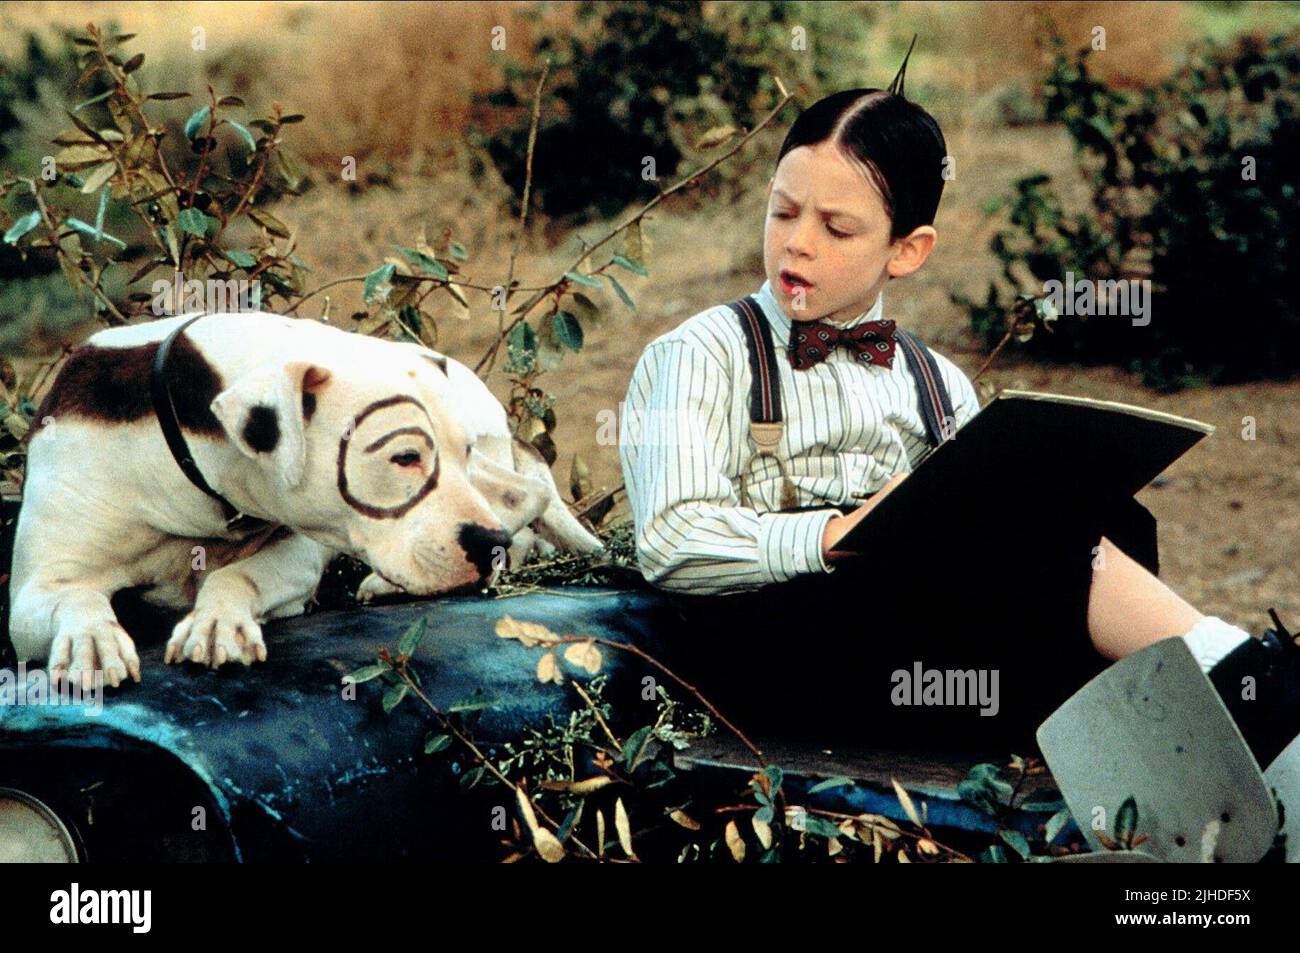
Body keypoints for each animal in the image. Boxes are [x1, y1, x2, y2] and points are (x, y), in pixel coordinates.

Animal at [7, 308, 603, 686]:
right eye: (404, 457)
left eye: (458, 449)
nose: (487, 544)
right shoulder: (32, 592)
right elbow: (73, 597)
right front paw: (89, 636)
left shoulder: (297, 555)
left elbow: (235, 576)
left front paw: (216, 618)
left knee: (526, 493)